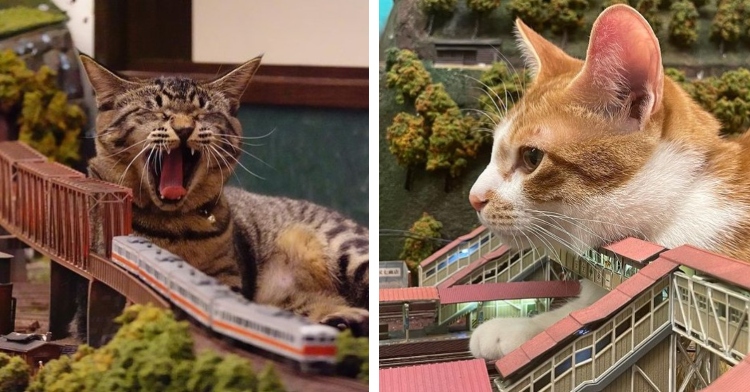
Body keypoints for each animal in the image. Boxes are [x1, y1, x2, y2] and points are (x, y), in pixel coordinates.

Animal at [78, 53, 370, 334]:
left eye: (203, 112)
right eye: (156, 109)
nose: (184, 128)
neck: (173, 226)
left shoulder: (228, 277)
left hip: (347, 248)